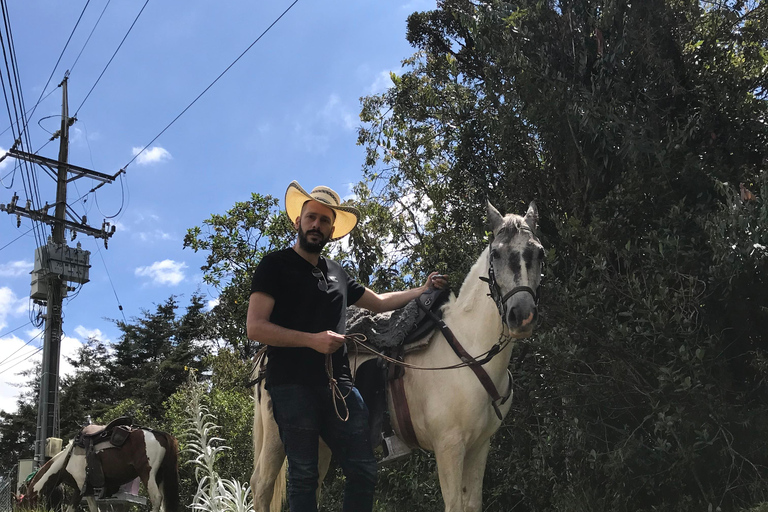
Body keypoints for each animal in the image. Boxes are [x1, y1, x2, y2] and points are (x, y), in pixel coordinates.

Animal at [20, 428, 179, 512]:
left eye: (23, 505)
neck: (66, 461)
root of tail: (160, 434)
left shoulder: (85, 488)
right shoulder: (79, 490)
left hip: (147, 474)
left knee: (157, 499)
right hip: (160, 477)